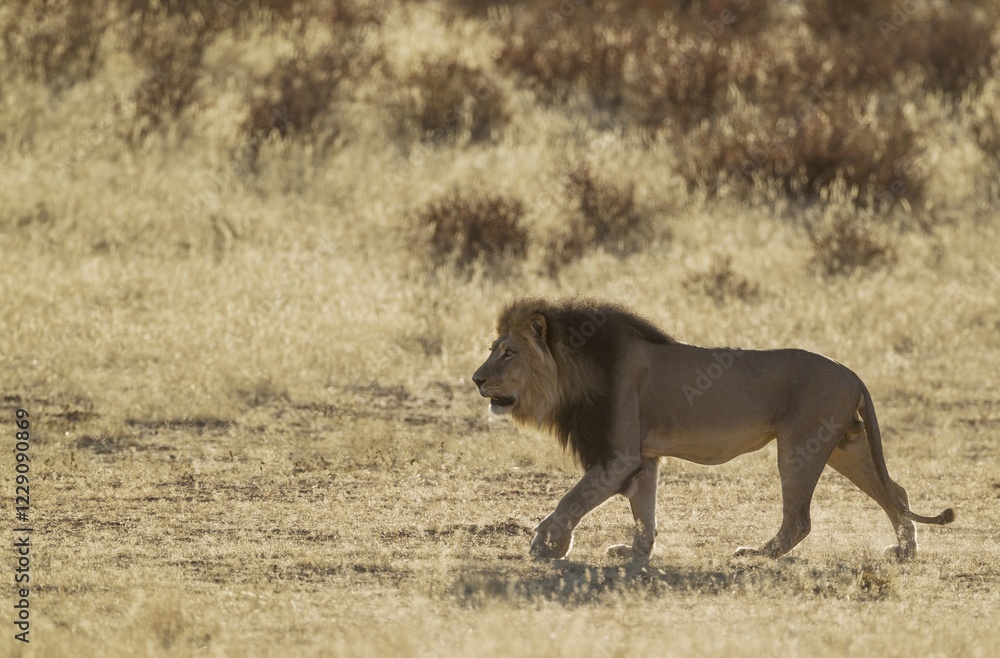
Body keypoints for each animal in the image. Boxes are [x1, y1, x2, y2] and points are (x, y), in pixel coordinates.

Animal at [472, 297, 954, 561]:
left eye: (508, 353)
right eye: (493, 349)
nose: (476, 379)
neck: (574, 369)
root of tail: (853, 373)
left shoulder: (617, 457)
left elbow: (572, 499)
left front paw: (545, 545)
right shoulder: (642, 457)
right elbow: (644, 511)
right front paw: (635, 552)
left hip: (800, 447)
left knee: (800, 520)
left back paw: (756, 555)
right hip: (844, 446)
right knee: (897, 493)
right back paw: (905, 551)